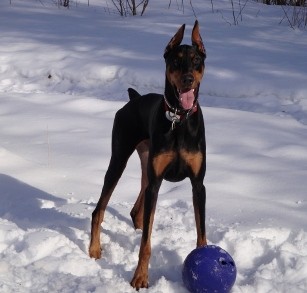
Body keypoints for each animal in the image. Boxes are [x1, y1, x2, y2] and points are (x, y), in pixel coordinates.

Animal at [90, 19, 208, 288]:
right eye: (176, 60)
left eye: (197, 60)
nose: (188, 79)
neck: (179, 120)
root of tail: (133, 99)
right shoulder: (157, 182)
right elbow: (146, 243)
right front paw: (140, 277)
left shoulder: (198, 184)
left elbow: (201, 233)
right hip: (119, 160)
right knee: (98, 209)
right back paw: (94, 249)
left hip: (147, 167)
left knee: (137, 209)